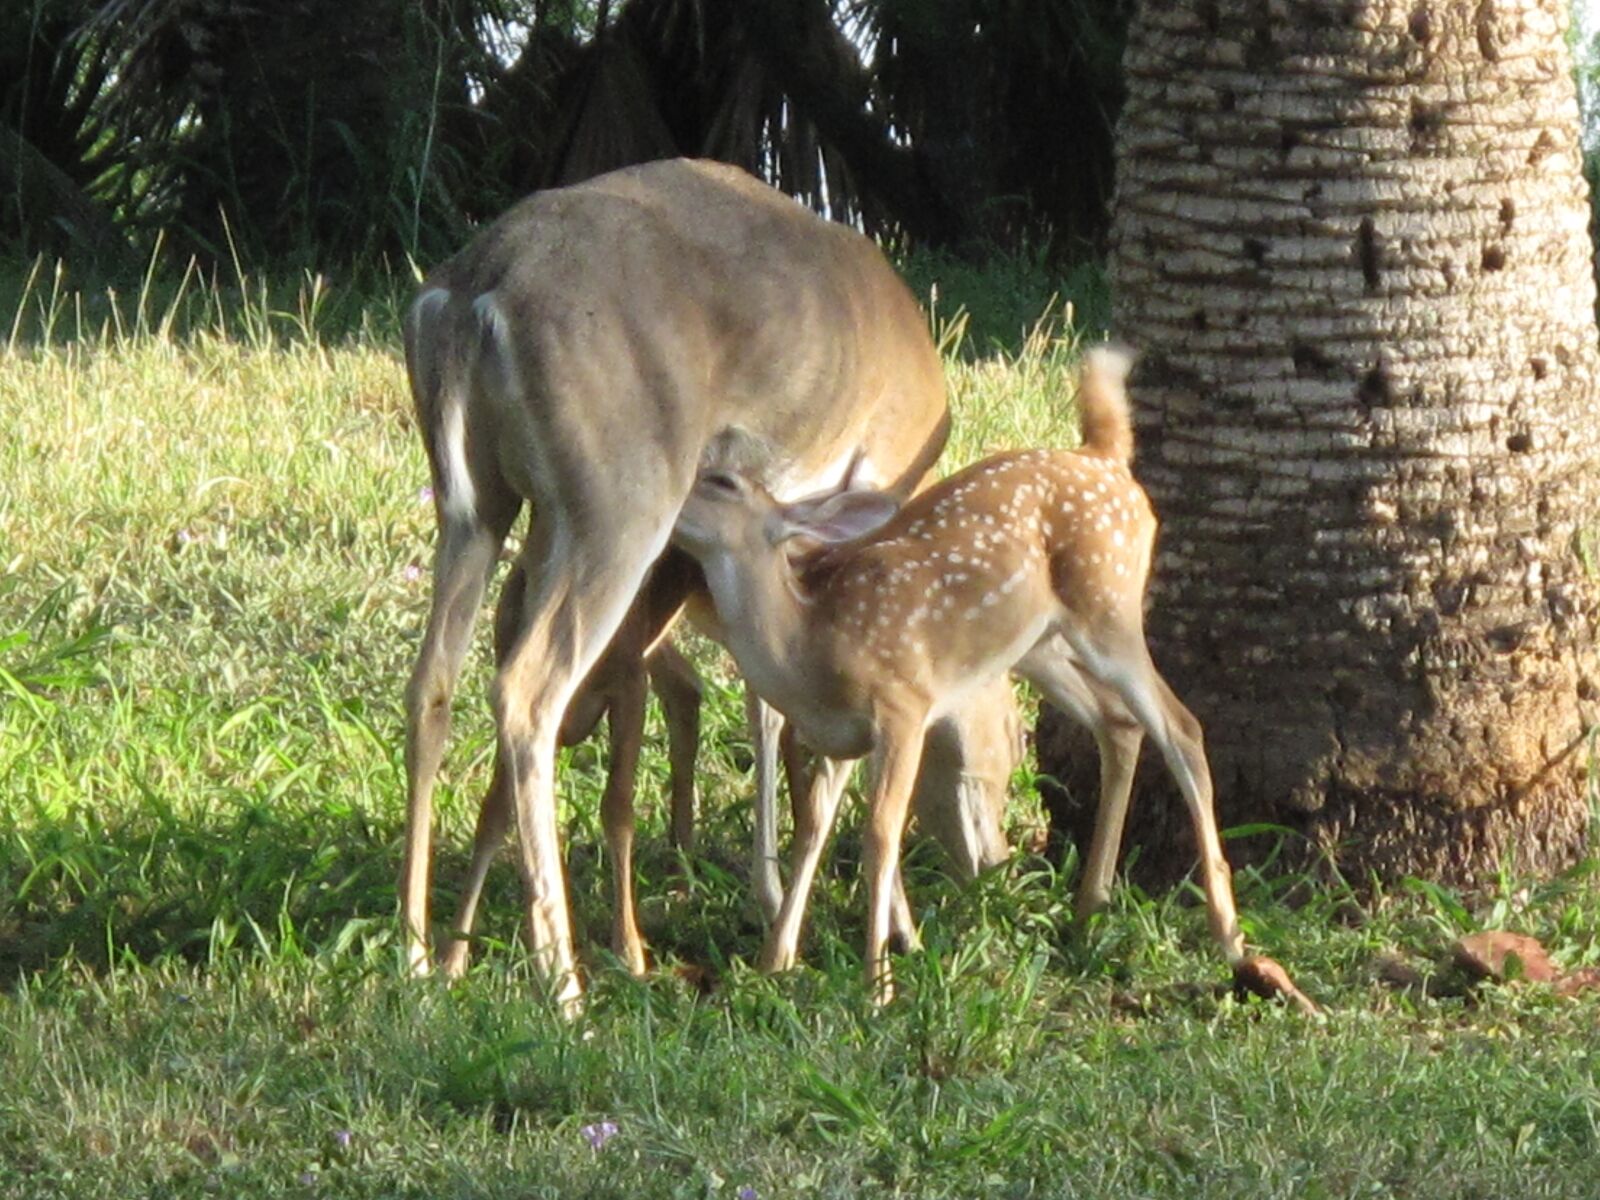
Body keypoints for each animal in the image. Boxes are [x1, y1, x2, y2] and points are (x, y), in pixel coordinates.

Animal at [406, 157, 972, 1004]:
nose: (982, 864)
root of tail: (476, 291)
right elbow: (813, 728)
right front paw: (877, 927)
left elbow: (770, 703)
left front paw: (779, 899)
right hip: (621, 494)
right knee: (527, 690)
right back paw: (564, 980)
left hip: (476, 499)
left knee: (431, 683)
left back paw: (417, 954)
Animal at [668, 352, 1305, 1011]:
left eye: (721, 482)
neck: (805, 642)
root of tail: (1105, 460)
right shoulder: (841, 736)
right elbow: (814, 826)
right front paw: (776, 959)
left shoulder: (903, 702)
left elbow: (880, 832)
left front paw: (877, 983)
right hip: (1041, 644)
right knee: (1119, 721)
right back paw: (1089, 906)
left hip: (1108, 606)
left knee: (1181, 726)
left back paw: (1228, 935)